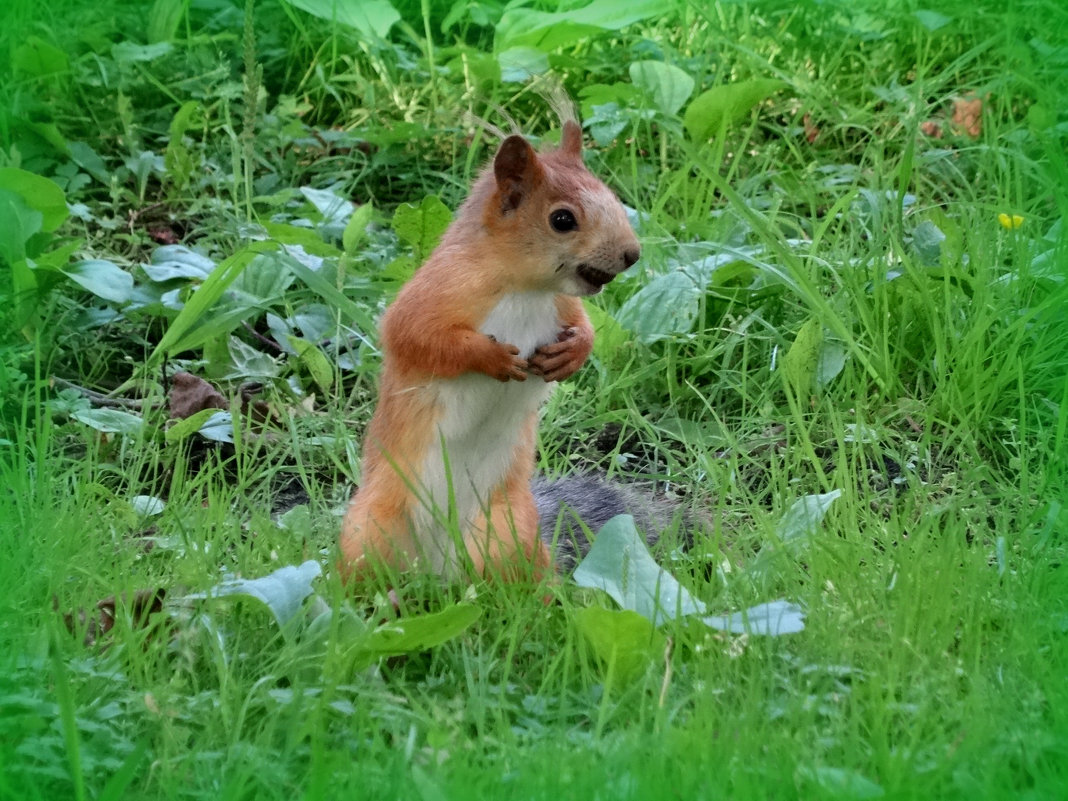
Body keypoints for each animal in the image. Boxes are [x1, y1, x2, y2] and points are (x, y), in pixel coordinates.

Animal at [339, 114, 640, 585]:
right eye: (562, 219)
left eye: (612, 197)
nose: (632, 254)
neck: (525, 289)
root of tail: (438, 572)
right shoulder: (433, 293)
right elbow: (416, 337)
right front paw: (491, 357)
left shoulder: (562, 305)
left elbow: (586, 327)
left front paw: (572, 353)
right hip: (369, 531)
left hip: (509, 530)